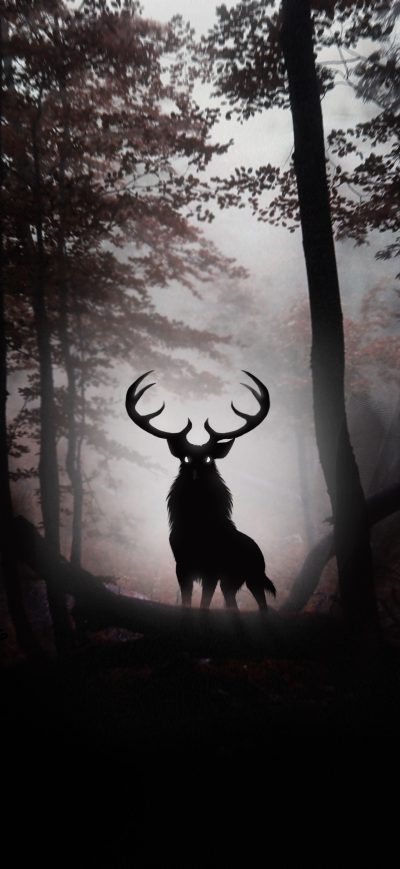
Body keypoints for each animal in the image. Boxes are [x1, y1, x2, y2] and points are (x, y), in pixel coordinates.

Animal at [126, 371, 276, 611]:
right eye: (185, 458)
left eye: (208, 459)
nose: (196, 473)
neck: (197, 527)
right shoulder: (181, 565)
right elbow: (187, 601)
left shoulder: (211, 569)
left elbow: (204, 604)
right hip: (233, 582)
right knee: (232, 603)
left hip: (253, 576)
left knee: (262, 604)